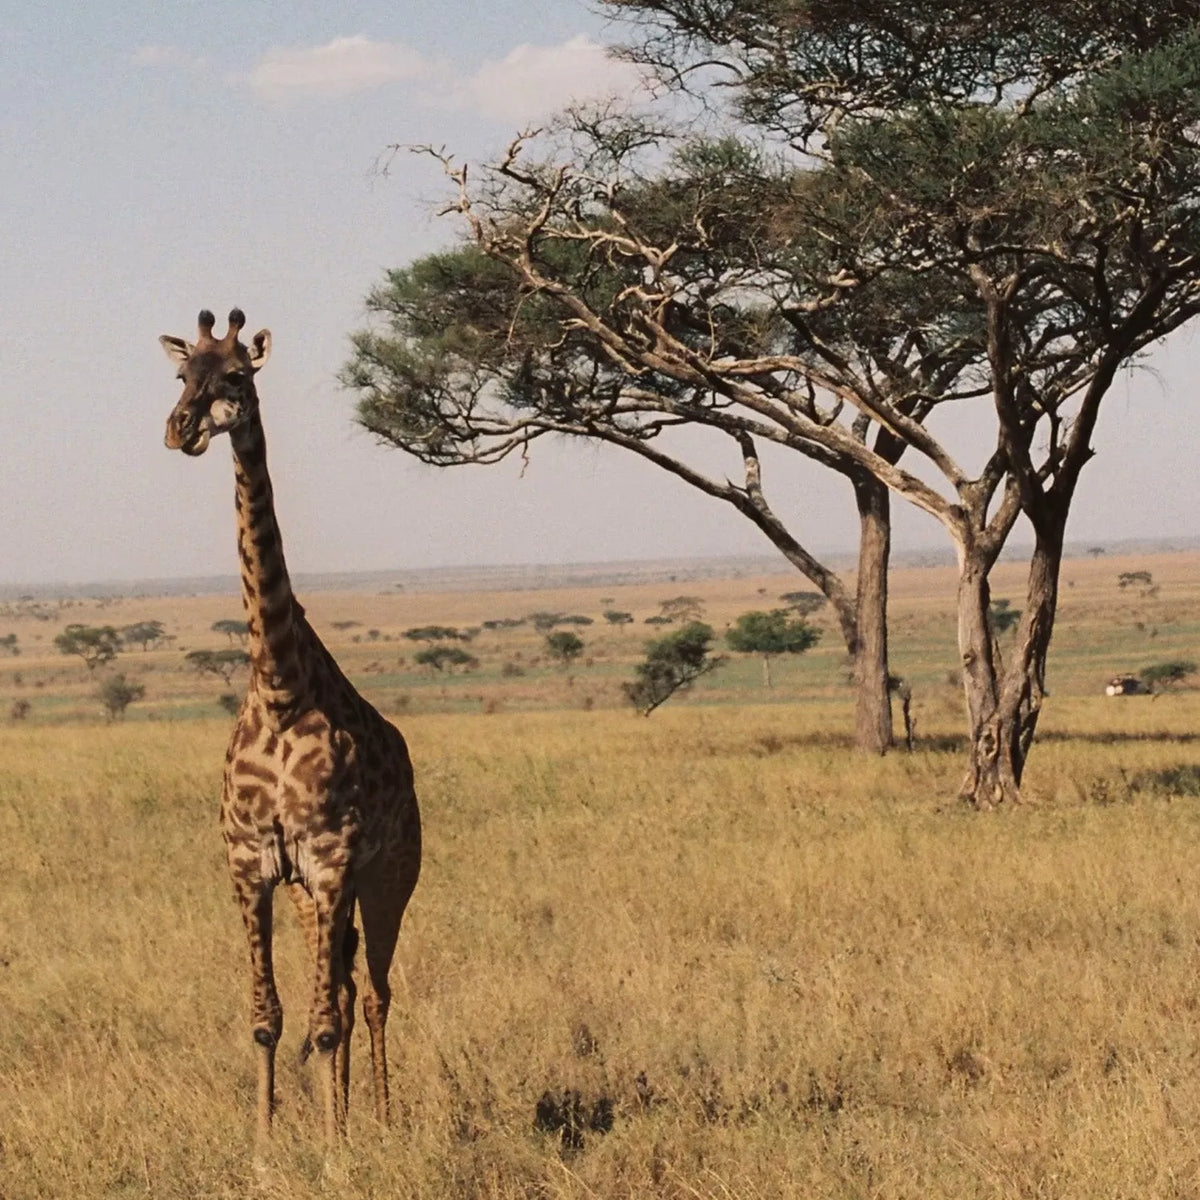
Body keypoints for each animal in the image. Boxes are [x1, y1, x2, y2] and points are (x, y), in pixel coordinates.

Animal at [159, 308, 421, 1145]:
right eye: (181, 375)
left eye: (238, 375)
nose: (179, 429)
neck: (278, 687)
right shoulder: (252, 862)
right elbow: (270, 1018)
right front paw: (266, 1146)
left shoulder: (335, 858)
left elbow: (330, 1019)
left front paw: (337, 1150)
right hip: (311, 893)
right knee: (336, 983)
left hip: (391, 875)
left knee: (371, 993)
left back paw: (379, 1121)